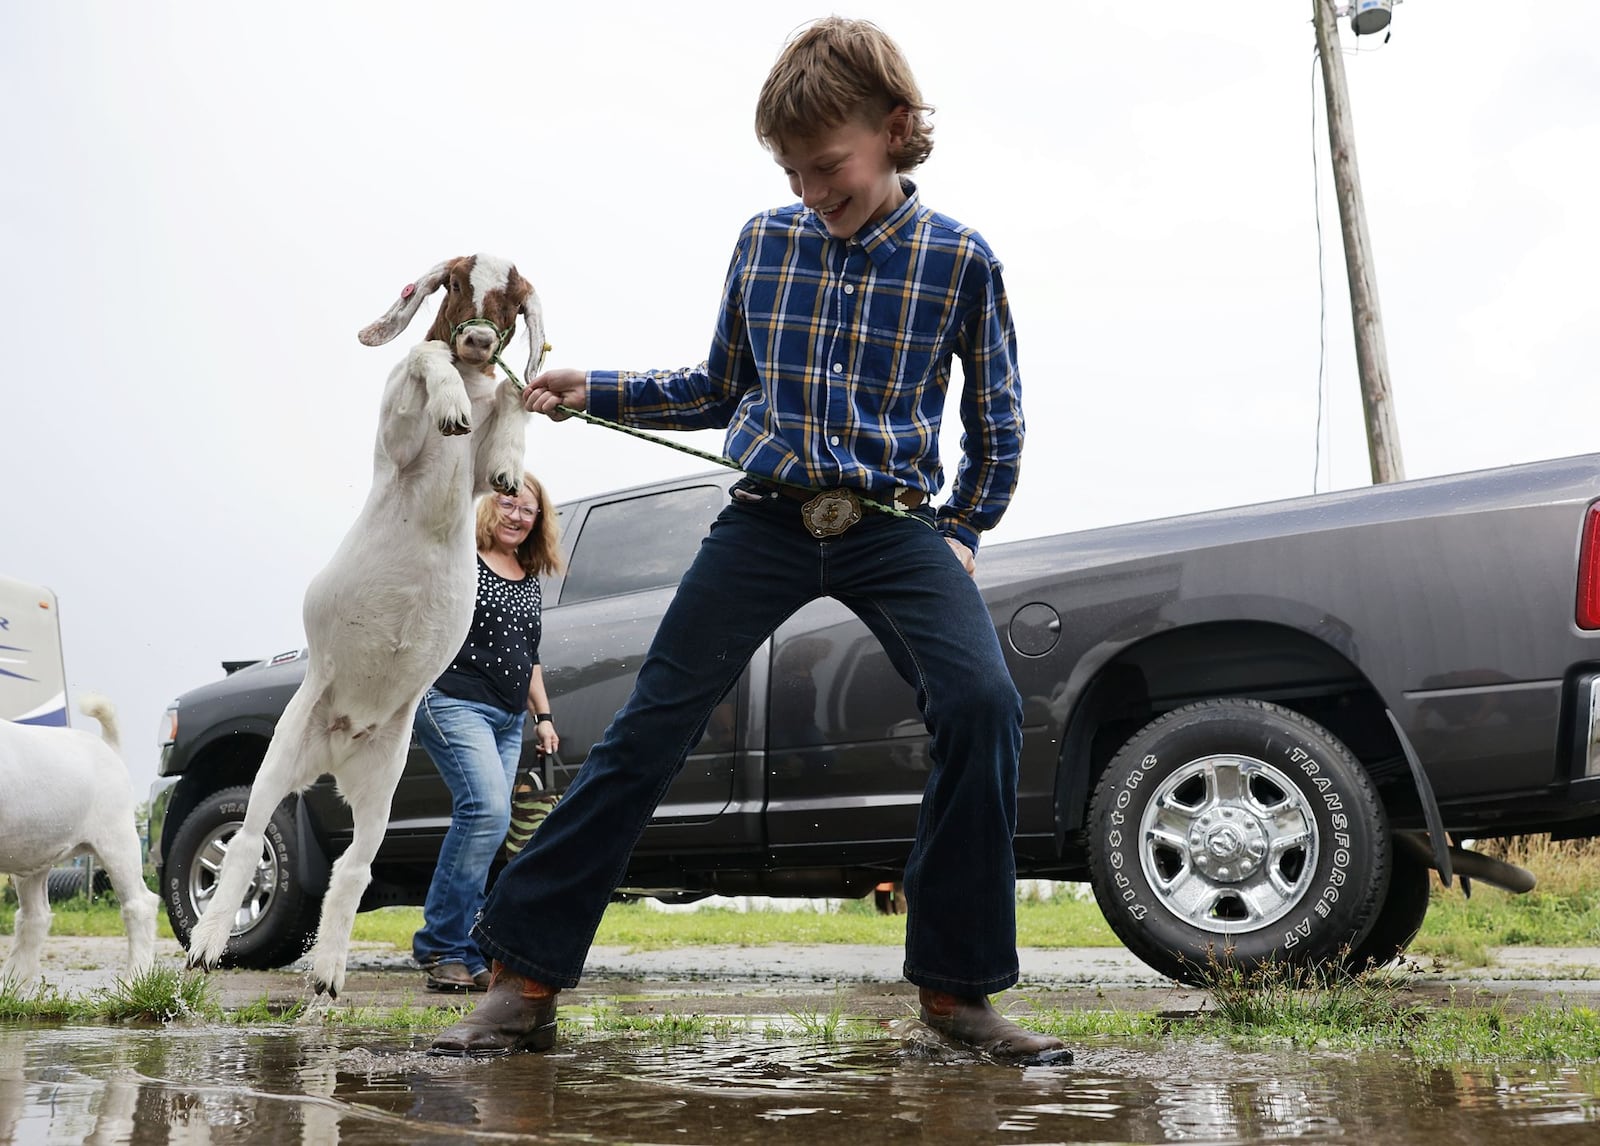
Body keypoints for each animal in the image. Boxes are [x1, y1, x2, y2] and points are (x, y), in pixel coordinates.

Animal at [1, 694, 159, 979]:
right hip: (34, 857)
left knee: (139, 905)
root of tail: (108, 747)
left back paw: (135, 979)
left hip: (118, 841)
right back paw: (10, 983)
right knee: (34, 917)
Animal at [184, 251, 550, 992]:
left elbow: (511, 401)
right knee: (245, 843)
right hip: (281, 753)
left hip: (383, 784)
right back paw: (207, 946)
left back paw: (328, 971)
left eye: (515, 298)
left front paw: (506, 461)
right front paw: (450, 401)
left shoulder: (482, 452)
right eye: (458, 280)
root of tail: (340, 740)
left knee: (353, 868)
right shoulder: (398, 435)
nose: (478, 342)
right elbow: (424, 356)